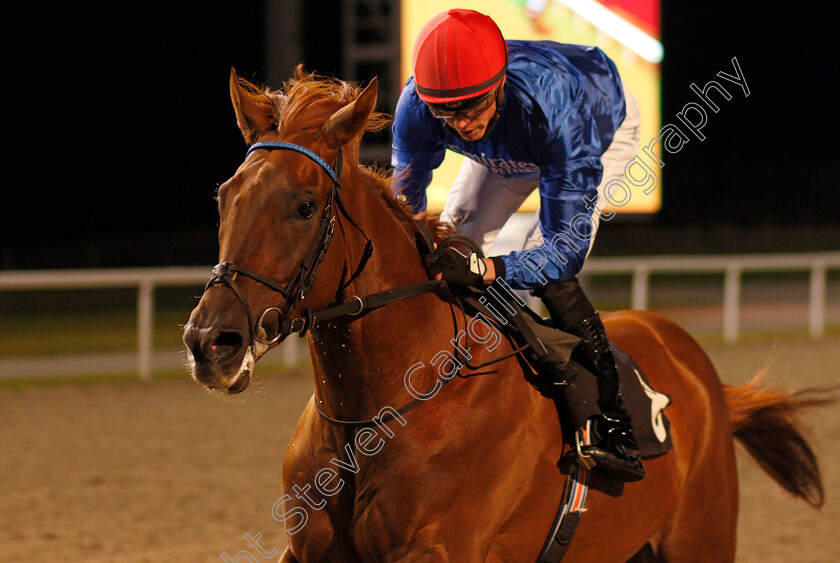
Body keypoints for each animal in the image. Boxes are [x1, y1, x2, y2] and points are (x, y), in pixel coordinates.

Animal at [180, 68, 832, 560]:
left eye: (306, 205)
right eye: (224, 196)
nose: (210, 341)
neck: (376, 415)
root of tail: (695, 361)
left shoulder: (439, 550)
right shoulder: (310, 550)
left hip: (702, 538)